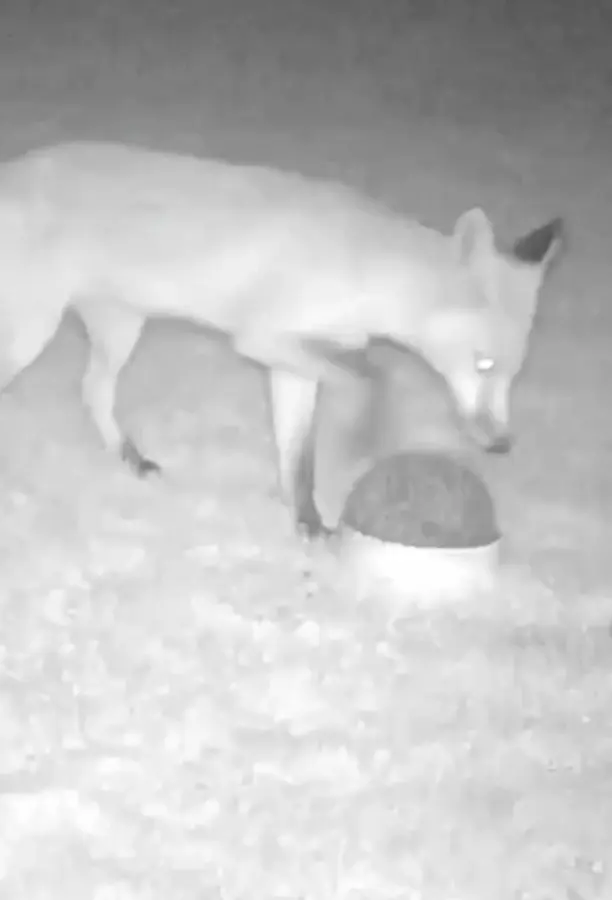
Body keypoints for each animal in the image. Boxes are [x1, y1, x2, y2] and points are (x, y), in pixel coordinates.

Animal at [0, 141, 563, 537]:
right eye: (483, 365)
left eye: (512, 375)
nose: (501, 445)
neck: (366, 270)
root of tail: (15, 165)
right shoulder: (261, 338)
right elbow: (371, 376)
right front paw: (366, 438)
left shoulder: (290, 366)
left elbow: (299, 460)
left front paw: (309, 526)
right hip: (34, 331)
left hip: (119, 328)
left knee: (92, 390)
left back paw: (131, 458)